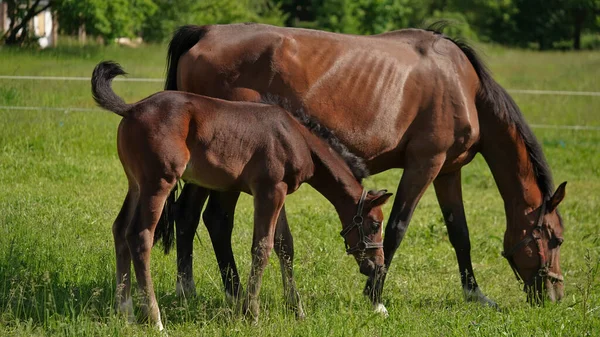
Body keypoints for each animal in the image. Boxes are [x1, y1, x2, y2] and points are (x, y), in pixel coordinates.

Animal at [89, 61, 390, 328]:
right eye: (375, 224)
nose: (377, 265)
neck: (297, 137)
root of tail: (131, 108)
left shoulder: (278, 193)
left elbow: (285, 245)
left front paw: (297, 310)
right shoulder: (269, 191)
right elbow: (262, 247)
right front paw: (252, 313)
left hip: (136, 184)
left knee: (120, 229)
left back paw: (125, 311)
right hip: (158, 183)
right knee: (140, 236)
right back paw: (155, 318)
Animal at [163, 23, 568, 312]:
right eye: (556, 239)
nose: (554, 296)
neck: (462, 84)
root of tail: (205, 33)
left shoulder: (448, 171)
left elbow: (460, 233)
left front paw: (475, 294)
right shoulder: (426, 164)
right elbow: (396, 229)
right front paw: (374, 294)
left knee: (193, 215)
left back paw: (200, 290)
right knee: (211, 218)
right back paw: (218, 292)